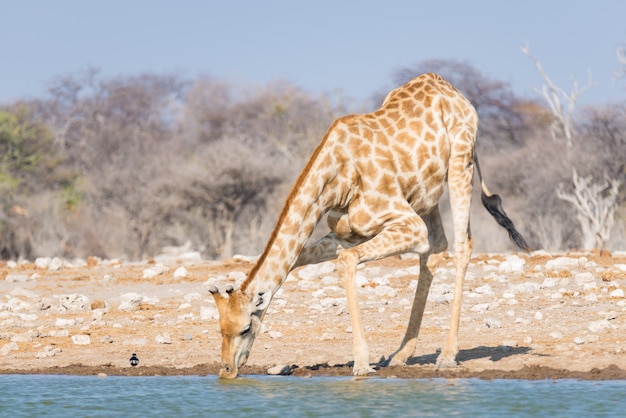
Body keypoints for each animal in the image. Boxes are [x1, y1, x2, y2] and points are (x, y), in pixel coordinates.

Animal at [208, 72, 528, 378]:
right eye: (220, 328)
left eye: (244, 328)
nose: (227, 370)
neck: (336, 179)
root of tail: (454, 92)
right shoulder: (346, 235)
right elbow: (297, 260)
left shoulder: (408, 225)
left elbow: (346, 261)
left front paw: (361, 364)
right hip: (427, 197)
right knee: (436, 248)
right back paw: (401, 354)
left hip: (461, 166)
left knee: (462, 245)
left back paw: (447, 355)